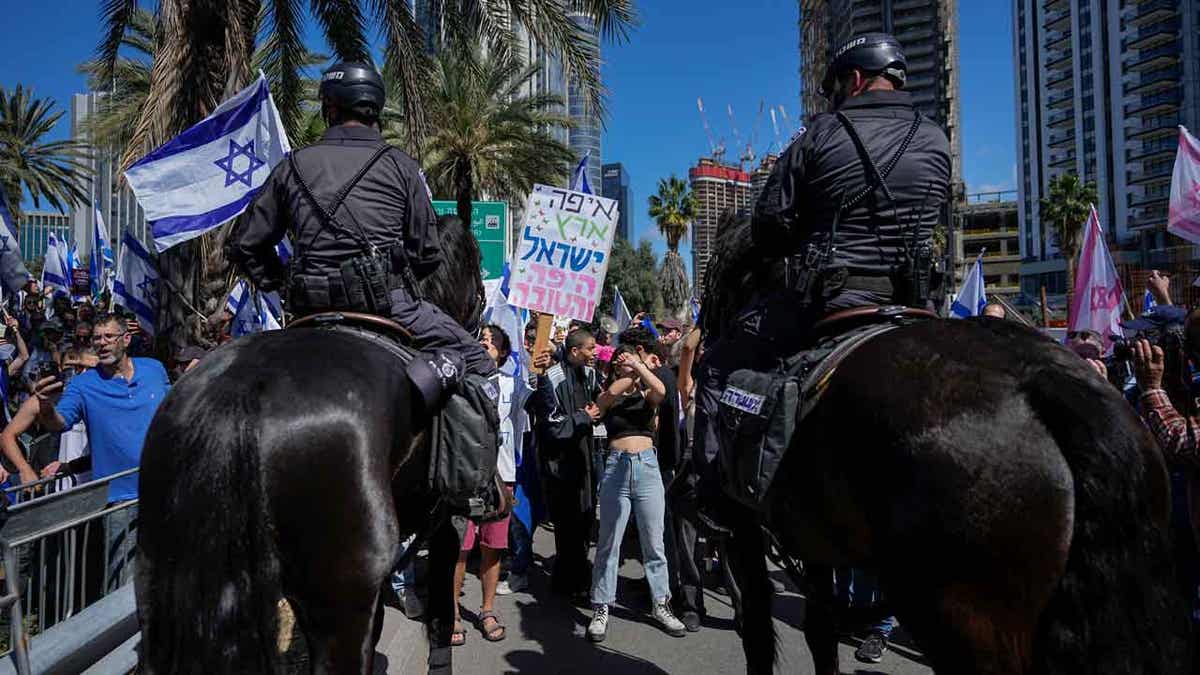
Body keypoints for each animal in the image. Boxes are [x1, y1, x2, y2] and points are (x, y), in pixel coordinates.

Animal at [133, 212, 484, 667]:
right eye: (476, 262)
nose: (479, 310)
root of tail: (240, 391)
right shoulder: (444, 518)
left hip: (163, 585)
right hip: (343, 588)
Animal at [700, 211, 1185, 672]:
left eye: (714, 280)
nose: (705, 332)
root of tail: (1047, 381)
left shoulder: (741, 527)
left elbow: (758, 630)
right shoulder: (811, 540)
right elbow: (819, 634)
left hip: (961, 617)